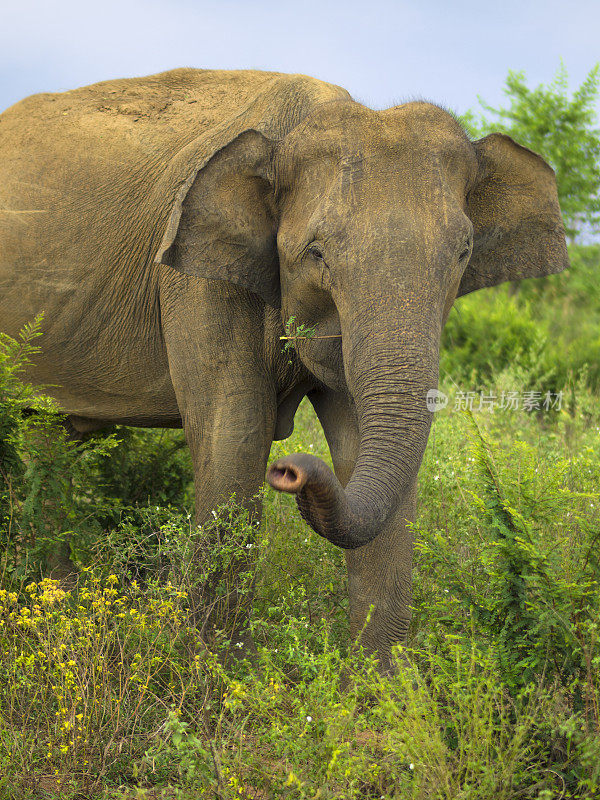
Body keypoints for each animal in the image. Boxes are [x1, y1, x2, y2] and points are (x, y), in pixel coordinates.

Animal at [0, 67, 568, 668]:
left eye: (463, 252)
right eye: (316, 253)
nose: (291, 470)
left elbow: (360, 450)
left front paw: (379, 686)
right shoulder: (194, 276)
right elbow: (235, 436)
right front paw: (219, 672)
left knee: (46, 442)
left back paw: (59, 597)